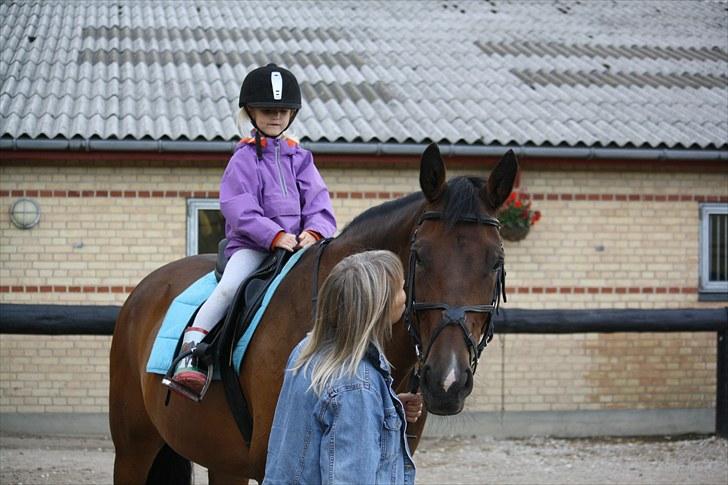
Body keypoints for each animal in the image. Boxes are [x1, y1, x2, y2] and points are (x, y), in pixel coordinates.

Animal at [109, 142, 516, 482]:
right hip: (133, 449)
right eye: (420, 256)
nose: (447, 381)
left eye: (496, 262)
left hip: (221, 458)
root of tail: (144, 290)